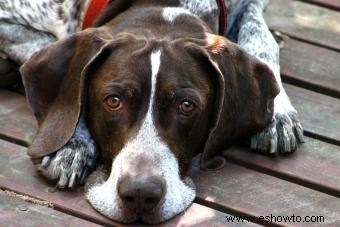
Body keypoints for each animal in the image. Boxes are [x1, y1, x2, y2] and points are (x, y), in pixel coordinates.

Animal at [0, 0, 304, 223]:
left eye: (186, 106)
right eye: (113, 101)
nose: (140, 194)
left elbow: (260, 35)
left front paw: (279, 112)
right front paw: (73, 143)